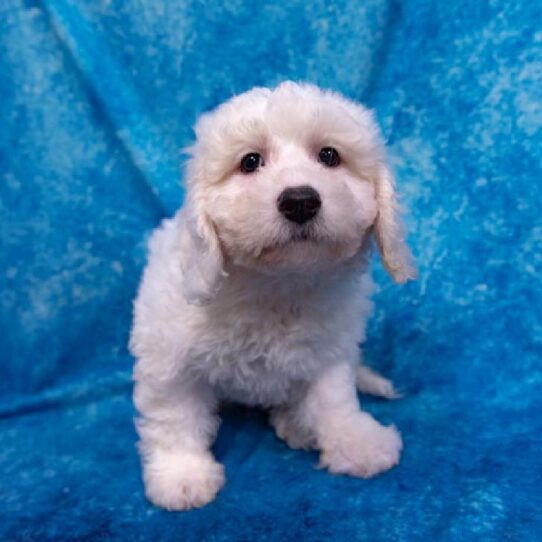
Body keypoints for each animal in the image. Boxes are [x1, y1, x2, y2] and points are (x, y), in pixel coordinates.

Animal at [131, 81, 416, 510]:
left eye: (329, 155)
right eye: (250, 162)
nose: (300, 200)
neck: (277, 284)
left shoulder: (331, 351)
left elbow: (335, 399)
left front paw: (355, 442)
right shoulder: (169, 358)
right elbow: (174, 416)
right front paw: (182, 475)